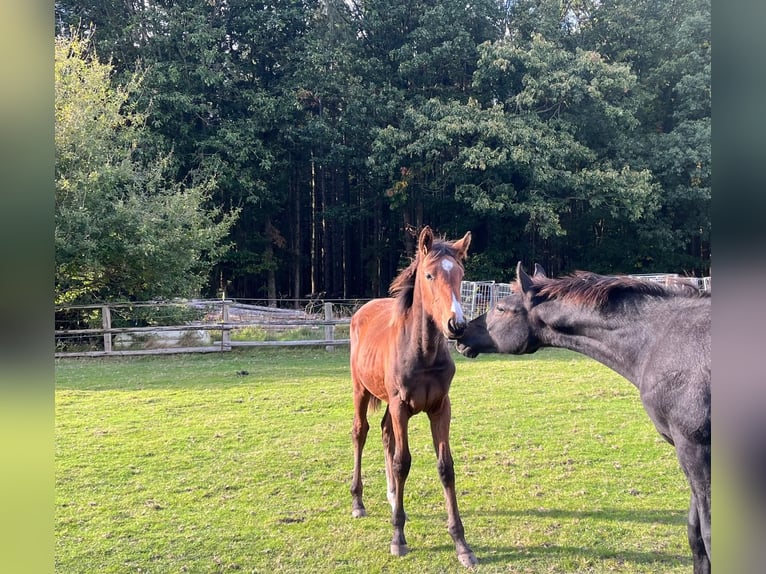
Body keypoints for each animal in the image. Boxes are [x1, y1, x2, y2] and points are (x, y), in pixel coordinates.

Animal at [350, 227, 480, 568]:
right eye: (429, 275)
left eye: (461, 274)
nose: (456, 325)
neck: (423, 353)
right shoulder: (400, 407)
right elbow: (402, 462)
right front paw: (398, 537)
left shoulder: (441, 408)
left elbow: (445, 466)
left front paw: (462, 544)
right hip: (360, 389)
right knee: (361, 432)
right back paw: (358, 501)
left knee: (384, 432)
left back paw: (392, 495)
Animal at [456, 264, 712, 572]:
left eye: (501, 308)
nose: (459, 333)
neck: (657, 340)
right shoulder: (687, 449)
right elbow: (695, 536)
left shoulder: (695, 448)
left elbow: (708, 535)